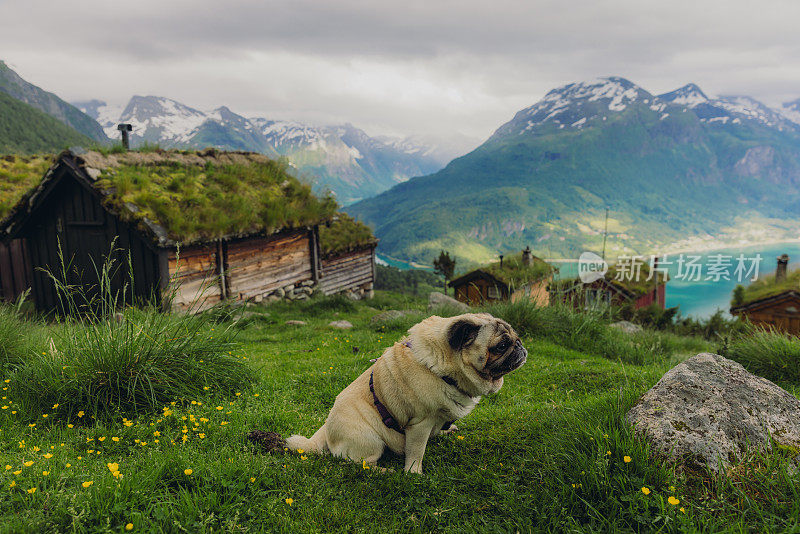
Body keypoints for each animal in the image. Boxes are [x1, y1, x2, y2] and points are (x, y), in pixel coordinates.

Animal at [286, 314, 524, 474]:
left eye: (517, 338)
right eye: (502, 345)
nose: (520, 346)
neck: (442, 369)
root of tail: (326, 430)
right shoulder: (420, 424)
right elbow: (417, 452)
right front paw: (413, 473)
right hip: (371, 440)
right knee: (360, 463)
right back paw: (384, 472)